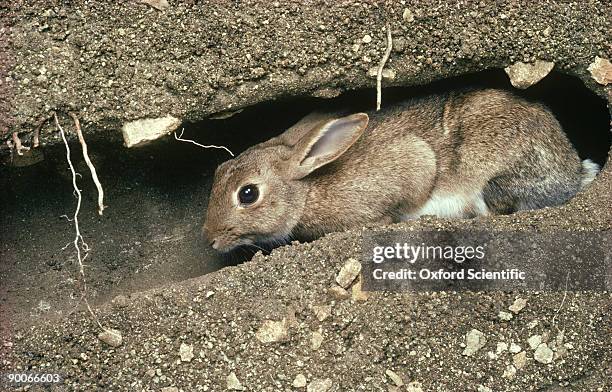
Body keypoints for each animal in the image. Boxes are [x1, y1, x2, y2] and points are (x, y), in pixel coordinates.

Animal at [203, 88, 600, 251]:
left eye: (248, 193)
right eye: (218, 171)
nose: (209, 239)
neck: (305, 189)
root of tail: (573, 168)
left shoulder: (412, 162)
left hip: (497, 180)